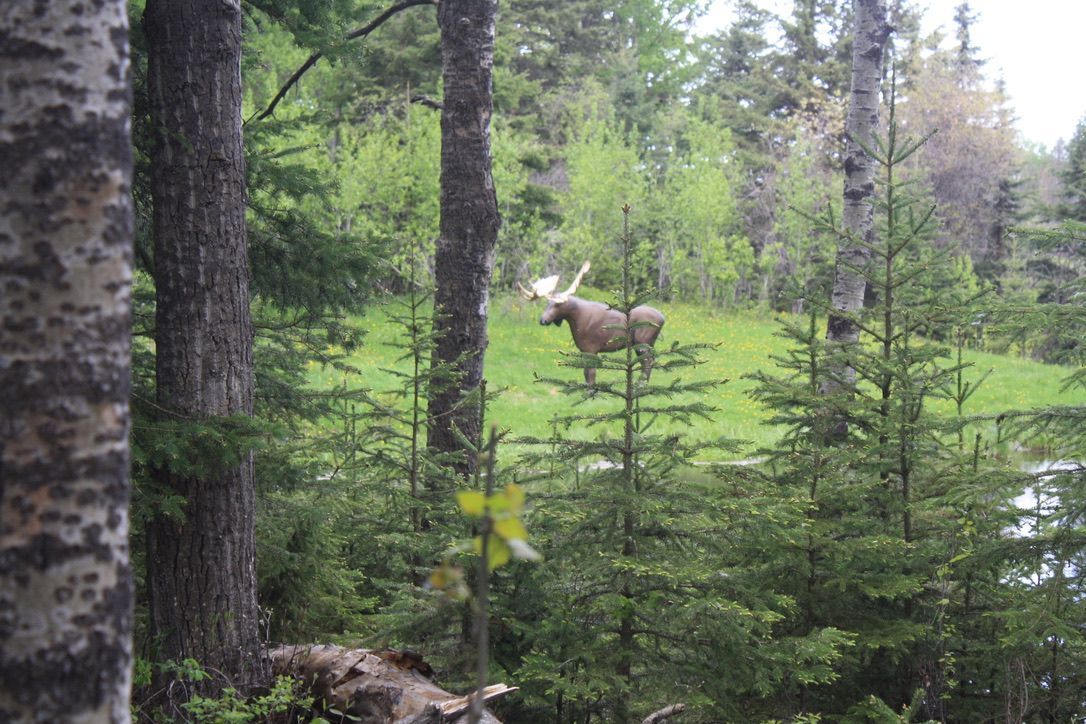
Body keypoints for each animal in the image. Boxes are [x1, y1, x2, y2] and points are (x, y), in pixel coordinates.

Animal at [518, 261, 665, 386]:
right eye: (547, 304)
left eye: (557, 304)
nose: (543, 320)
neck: (576, 321)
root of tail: (662, 319)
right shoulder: (584, 349)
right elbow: (585, 371)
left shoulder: (591, 347)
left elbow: (591, 371)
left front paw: (591, 390)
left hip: (643, 341)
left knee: (647, 361)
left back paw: (641, 384)